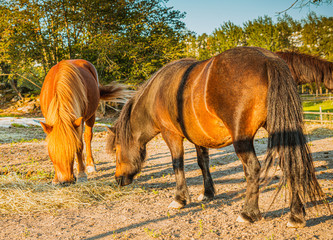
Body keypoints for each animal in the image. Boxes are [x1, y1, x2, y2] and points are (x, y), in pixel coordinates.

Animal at [107, 47, 326, 229]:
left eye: (117, 149)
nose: (118, 179)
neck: (158, 93)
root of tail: (268, 59)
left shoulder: (172, 135)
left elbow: (177, 164)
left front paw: (179, 199)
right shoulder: (198, 137)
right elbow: (202, 162)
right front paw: (208, 192)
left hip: (242, 139)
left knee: (253, 168)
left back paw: (248, 213)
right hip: (280, 128)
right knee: (291, 163)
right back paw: (296, 216)